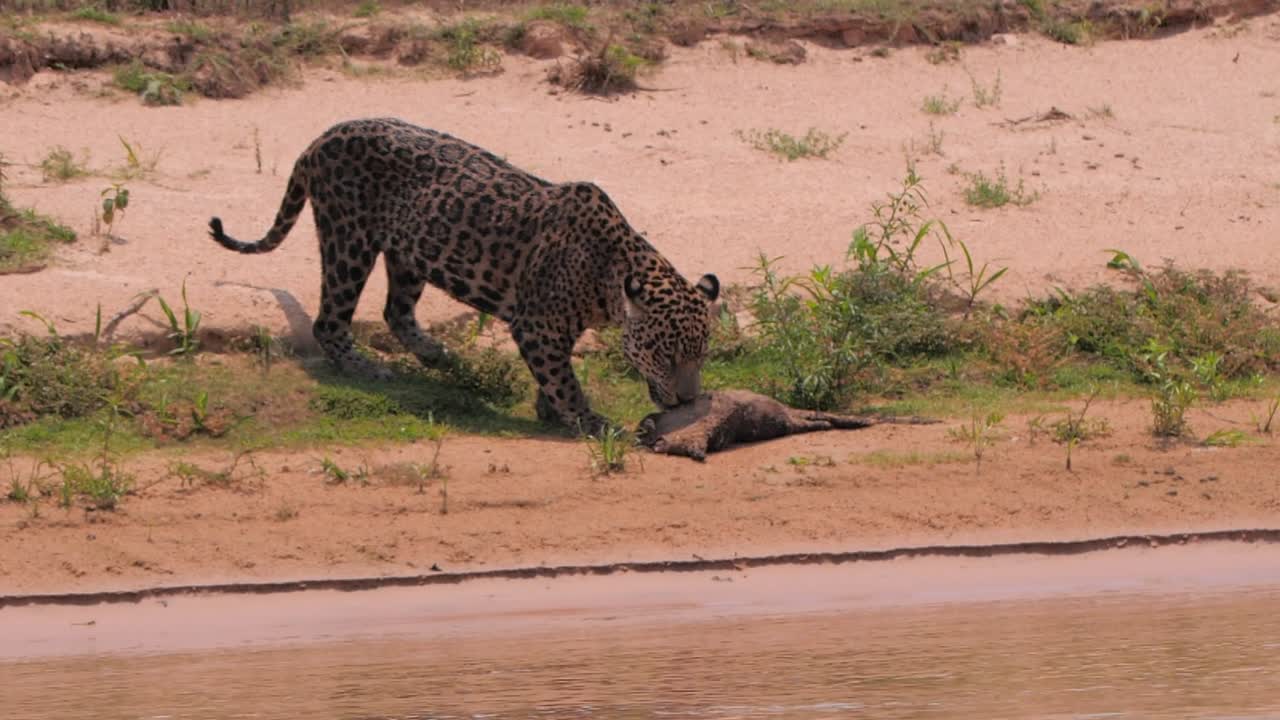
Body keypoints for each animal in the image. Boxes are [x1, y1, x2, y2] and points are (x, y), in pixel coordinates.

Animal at [208, 117, 719, 435]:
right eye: (665, 355)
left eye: (700, 355)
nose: (685, 402)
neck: (608, 275)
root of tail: (325, 135)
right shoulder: (537, 326)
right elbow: (564, 379)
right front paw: (586, 421)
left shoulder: (552, 329)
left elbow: (554, 374)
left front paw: (549, 410)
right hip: (348, 240)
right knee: (329, 321)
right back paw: (366, 368)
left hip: (411, 249)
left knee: (396, 311)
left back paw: (439, 355)